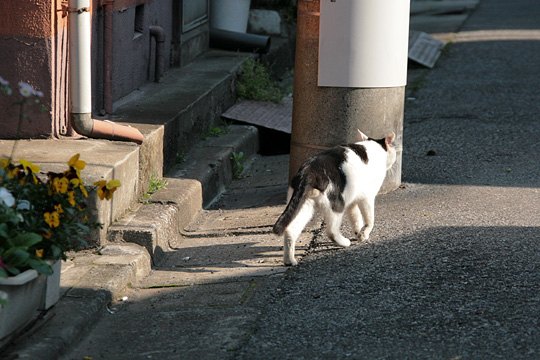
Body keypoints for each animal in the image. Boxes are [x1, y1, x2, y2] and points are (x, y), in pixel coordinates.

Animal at [274, 129, 396, 264]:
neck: (374, 148)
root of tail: (308, 170)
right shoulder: (367, 198)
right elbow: (370, 220)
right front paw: (364, 233)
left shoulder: (352, 202)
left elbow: (356, 218)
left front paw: (359, 234)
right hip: (337, 204)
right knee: (331, 231)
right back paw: (344, 242)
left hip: (305, 206)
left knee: (290, 230)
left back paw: (289, 260)